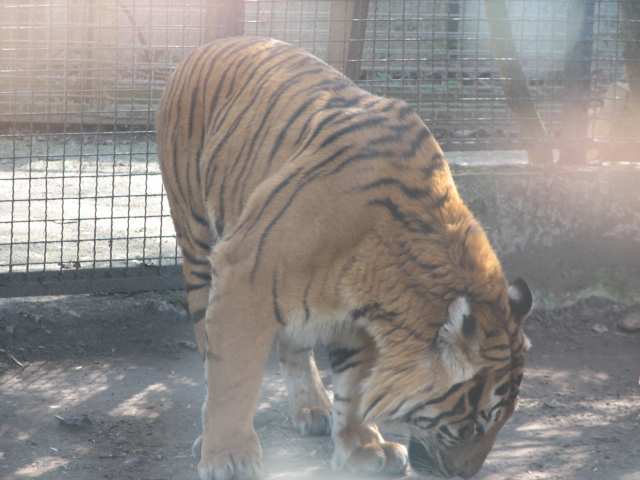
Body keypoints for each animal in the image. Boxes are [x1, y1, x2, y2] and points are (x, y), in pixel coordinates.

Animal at [155, 36, 532, 480]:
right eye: (477, 422)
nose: (465, 475)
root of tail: (213, 44)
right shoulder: (243, 275)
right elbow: (234, 378)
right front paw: (229, 456)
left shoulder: (358, 314)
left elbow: (354, 385)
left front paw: (364, 448)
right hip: (198, 242)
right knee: (208, 343)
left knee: (294, 343)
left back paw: (312, 407)